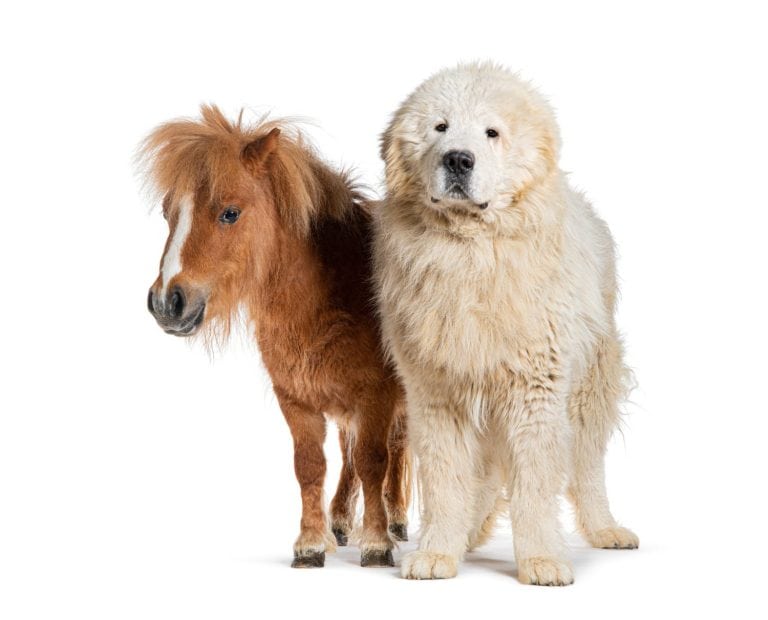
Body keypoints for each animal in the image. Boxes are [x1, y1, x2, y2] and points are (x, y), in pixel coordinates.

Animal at [139, 105, 409, 568]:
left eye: (230, 213)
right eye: (167, 212)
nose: (166, 302)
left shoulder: (376, 396)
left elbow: (375, 461)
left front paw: (376, 543)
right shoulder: (296, 399)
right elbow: (310, 466)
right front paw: (312, 543)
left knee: (397, 450)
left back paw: (396, 521)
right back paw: (341, 520)